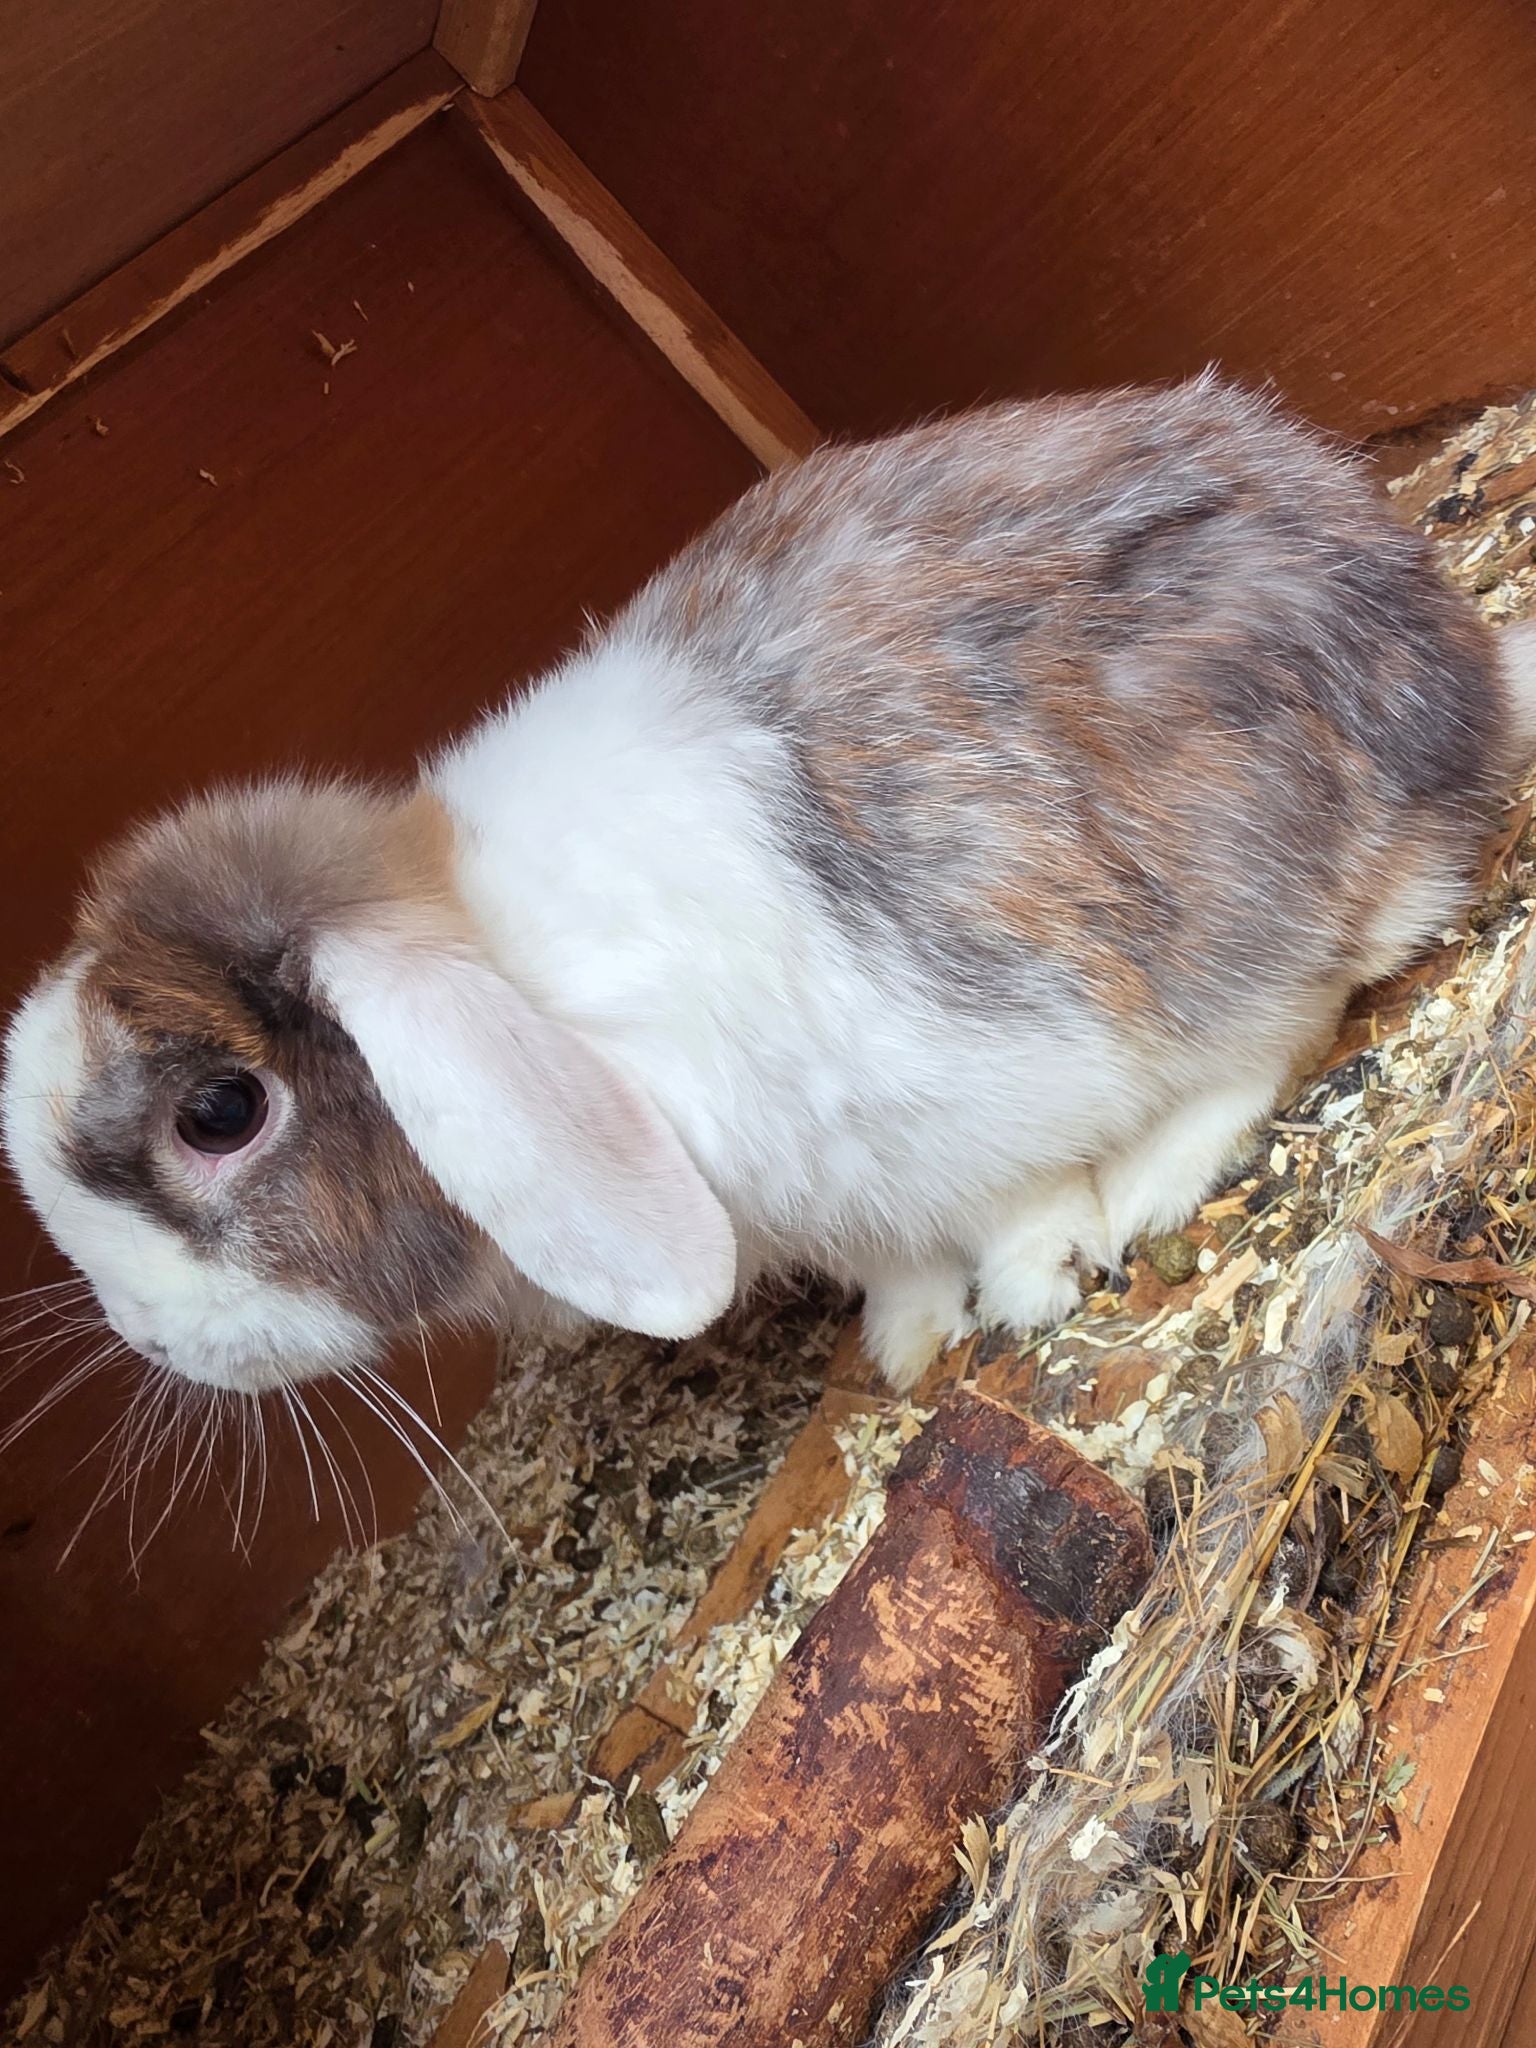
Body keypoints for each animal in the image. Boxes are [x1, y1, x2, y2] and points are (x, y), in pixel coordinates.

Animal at [5, 373, 1534, 1399]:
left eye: (219, 1114)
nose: (150, 1338)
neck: (518, 982)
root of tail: (1465, 671)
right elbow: (895, 1256)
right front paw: (909, 1334)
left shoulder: (956, 1085)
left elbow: (1016, 1192)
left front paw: (1030, 1283)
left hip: (1242, 878)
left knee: (1291, 1008)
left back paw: (1154, 1184)